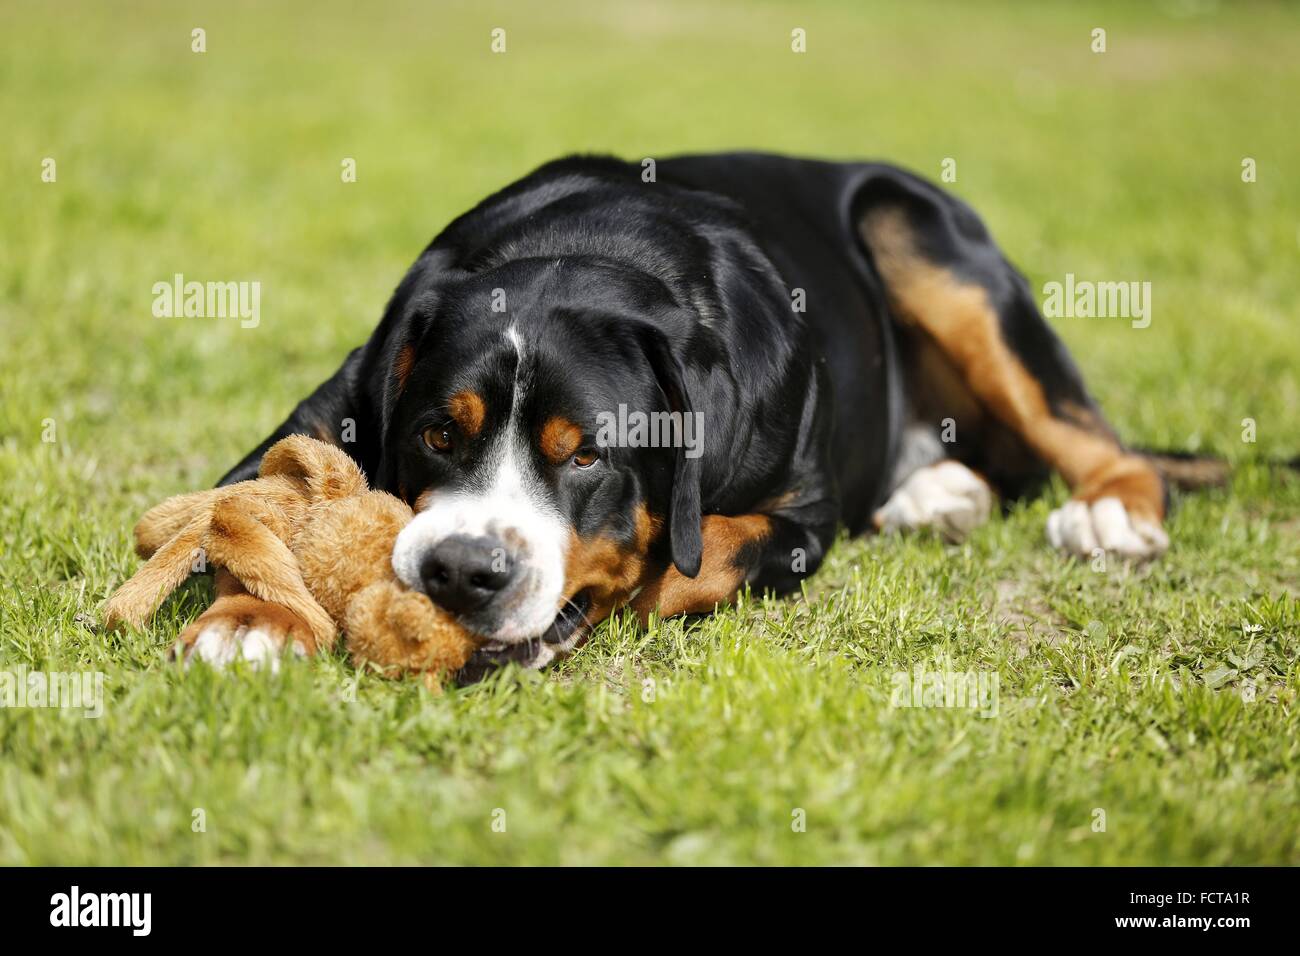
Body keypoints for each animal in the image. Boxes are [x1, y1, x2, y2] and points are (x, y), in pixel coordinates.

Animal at [178, 151, 1222, 671]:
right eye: (439, 433)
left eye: (587, 455)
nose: (463, 572)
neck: (596, 247)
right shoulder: (328, 412)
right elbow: (248, 518)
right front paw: (253, 620)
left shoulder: (800, 516)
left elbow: (697, 552)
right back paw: (938, 495)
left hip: (920, 235)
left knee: (1092, 442)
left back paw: (1110, 512)